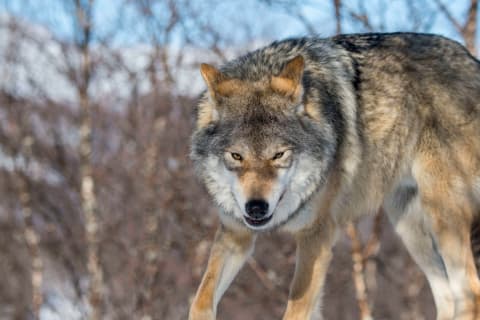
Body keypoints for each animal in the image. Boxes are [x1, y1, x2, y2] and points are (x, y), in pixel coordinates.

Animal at [188, 33, 480, 320]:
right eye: (236, 156)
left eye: (279, 155)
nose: (256, 207)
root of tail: (471, 61)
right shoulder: (235, 233)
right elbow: (200, 303)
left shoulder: (316, 235)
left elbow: (295, 310)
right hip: (409, 226)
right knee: (448, 297)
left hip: (441, 216)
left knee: (469, 292)